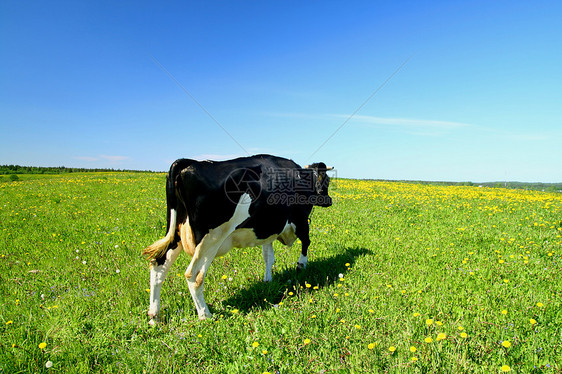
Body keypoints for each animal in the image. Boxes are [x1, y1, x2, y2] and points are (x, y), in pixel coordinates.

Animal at [141, 153, 332, 322]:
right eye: (327, 181)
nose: (329, 200)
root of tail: (188, 162)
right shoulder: (301, 220)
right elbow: (306, 242)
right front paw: (301, 265)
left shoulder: (267, 230)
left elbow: (269, 258)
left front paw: (268, 281)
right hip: (210, 239)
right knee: (194, 276)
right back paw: (205, 314)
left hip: (176, 234)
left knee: (158, 266)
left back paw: (154, 316)